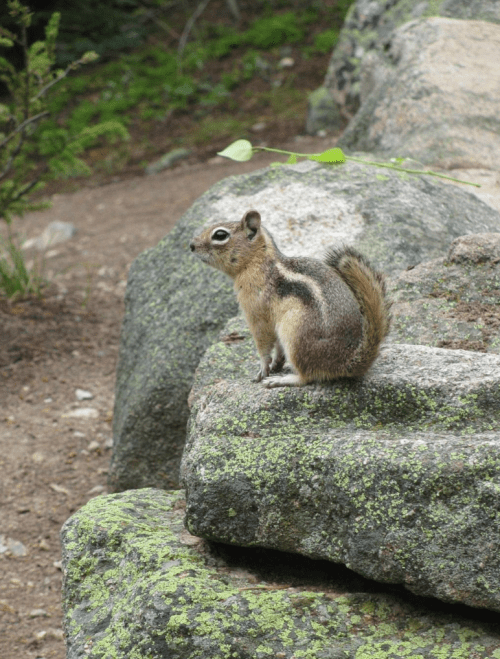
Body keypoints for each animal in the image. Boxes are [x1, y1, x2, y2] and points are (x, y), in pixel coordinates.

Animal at [189, 210, 391, 388]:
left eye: (220, 235)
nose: (191, 245)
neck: (258, 263)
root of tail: (348, 361)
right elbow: (277, 349)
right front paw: (276, 364)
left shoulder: (256, 313)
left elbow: (263, 345)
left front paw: (263, 369)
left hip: (294, 333)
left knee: (307, 376)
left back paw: (282, 380)